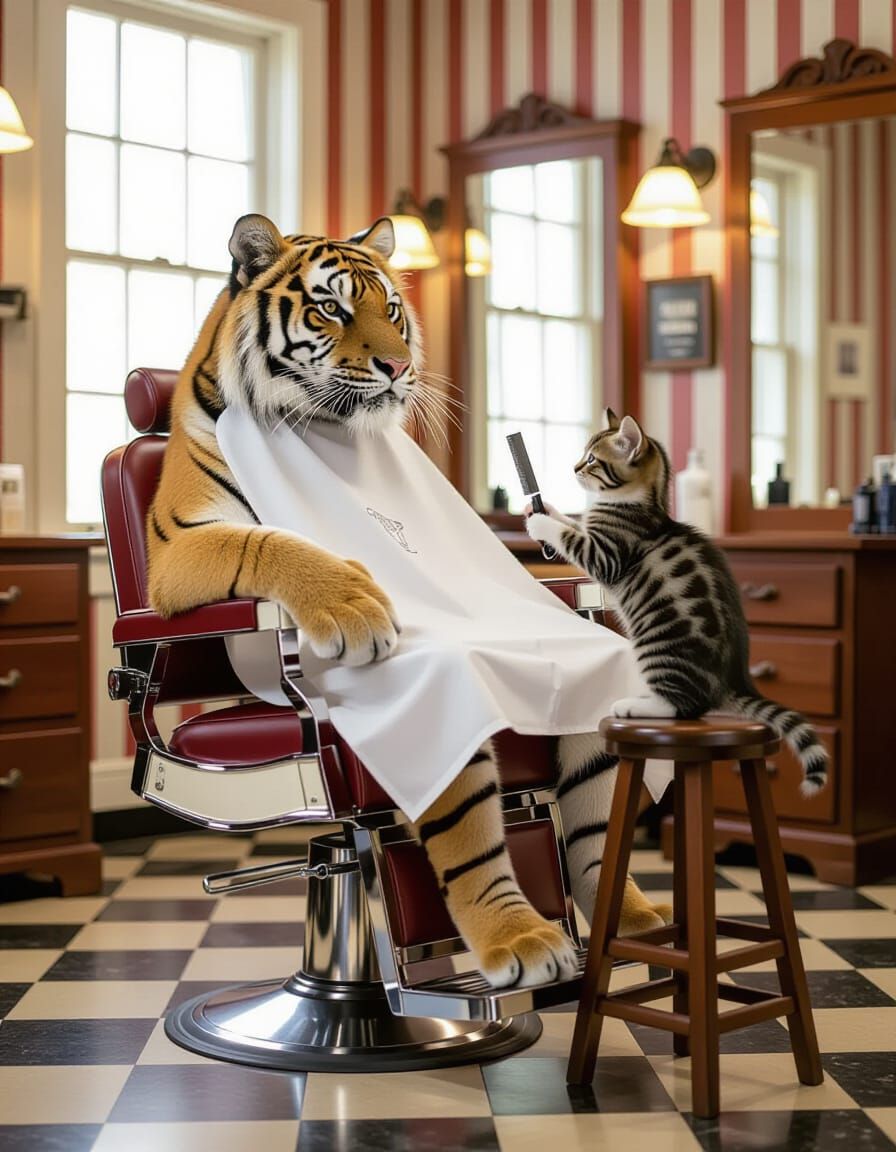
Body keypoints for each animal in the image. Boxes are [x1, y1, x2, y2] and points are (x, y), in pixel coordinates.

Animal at [146, 212, 669, 989]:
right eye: (331, 309)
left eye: (390, 309)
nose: (397, 369)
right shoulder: (180, 546)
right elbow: (270, 542)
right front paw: (356, 607)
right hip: (431, 711)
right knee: (454, 822)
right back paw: (518, 940)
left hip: (592, 688)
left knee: (588, 817)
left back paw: (629, 924)